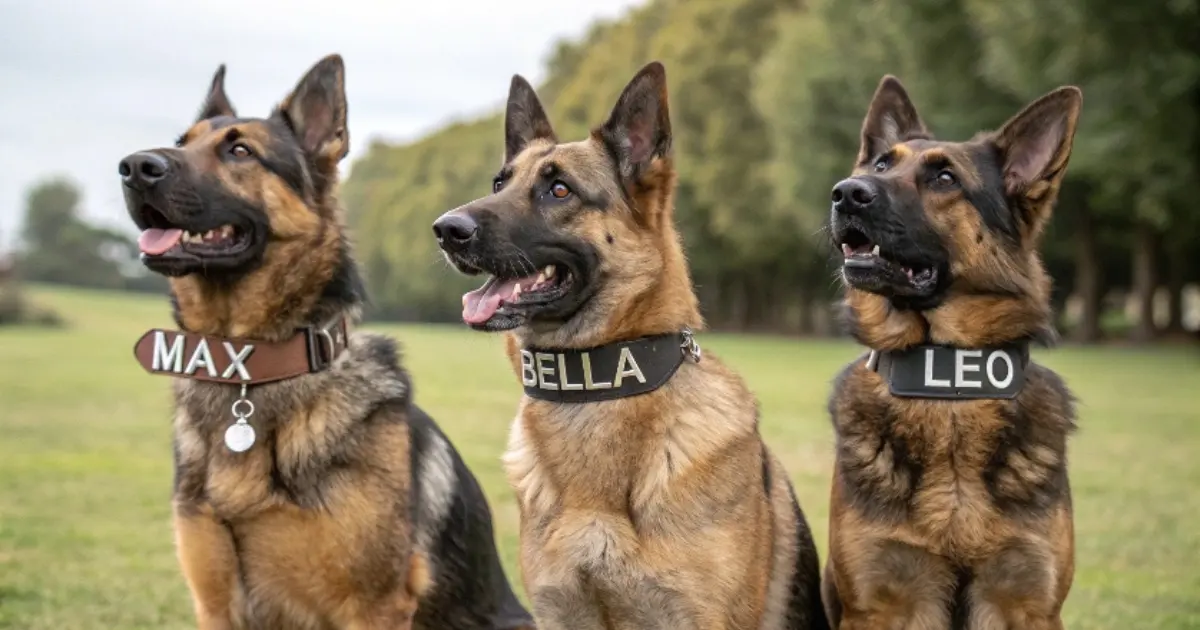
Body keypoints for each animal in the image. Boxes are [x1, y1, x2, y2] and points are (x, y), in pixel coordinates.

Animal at [115, 55, 530, 628]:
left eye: (240, 151)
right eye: (182, 141)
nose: (134, 166)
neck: (249, 367)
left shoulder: (373, 607)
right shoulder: (215, 605)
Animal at [820, 76, 1084, 624]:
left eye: (945, 178)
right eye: (881, 166)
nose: (847, 192)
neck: (946, 383)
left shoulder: (1029, 605)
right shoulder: (878, 606)